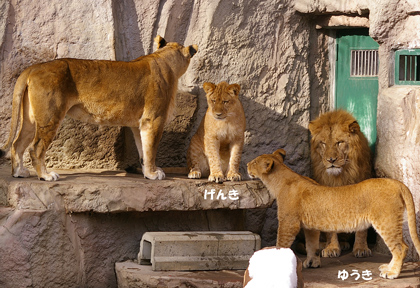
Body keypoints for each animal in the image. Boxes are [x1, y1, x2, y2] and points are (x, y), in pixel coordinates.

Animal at [0, 35, 198, 180]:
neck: (165, 58)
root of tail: (34, 67)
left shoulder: (139, 123)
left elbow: (143, 149)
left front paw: (146, 172)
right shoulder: (154, 119)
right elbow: (151, 149)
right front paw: (153, 173)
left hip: (31, 119)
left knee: (17, 143)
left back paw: (19, 173)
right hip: (50, 116)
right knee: (36, 147)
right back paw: (46, 176)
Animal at [306, 109, 372, 258]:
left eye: (339, 142)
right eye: (323, 143)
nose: (331, 160)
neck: (341, 176)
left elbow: (362, 229)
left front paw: (361, 248)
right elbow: (330, 230)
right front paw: (331, 248)